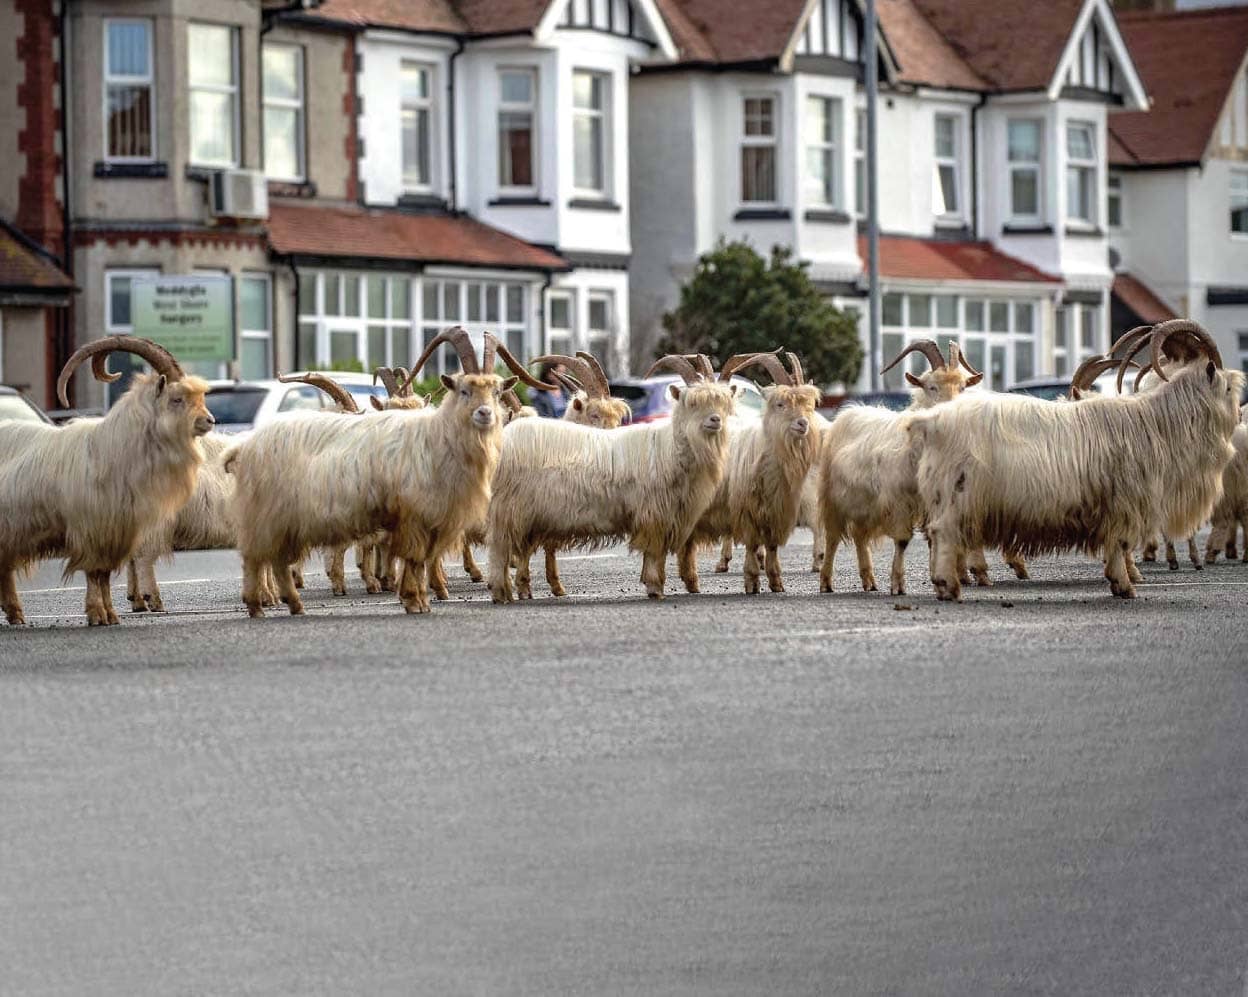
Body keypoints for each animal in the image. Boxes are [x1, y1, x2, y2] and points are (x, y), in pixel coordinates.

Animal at [0, 337, 213, 626]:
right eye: (177, 398)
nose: (210, 421)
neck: (111, 449)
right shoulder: (92, 529)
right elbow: (93, 572)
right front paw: (97, 614)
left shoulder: (115, 530)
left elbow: (104, 576)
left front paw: (111, 614)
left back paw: (16, 614)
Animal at [487, 354, 738, 603]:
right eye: (692, 402)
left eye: (724, 402)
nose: (715, 420)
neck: (670, 447)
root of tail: (506, 437)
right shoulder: (653, 514)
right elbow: (654, 552)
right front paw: (655, 587)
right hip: (510, 510)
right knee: (500, 549)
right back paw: (501, 591)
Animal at [907, 321, 1243, 601]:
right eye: (1228, 387)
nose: (1241, 415)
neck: (1156, 422)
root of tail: (933, 419)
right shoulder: (1123, 504)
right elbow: (1119, 545)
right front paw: (1124, 585)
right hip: (959, 495)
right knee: (944, 533)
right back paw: (949, 586)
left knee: (937, 534)